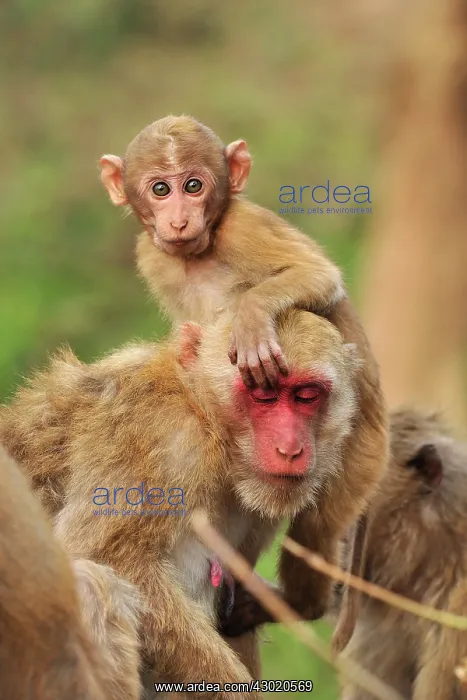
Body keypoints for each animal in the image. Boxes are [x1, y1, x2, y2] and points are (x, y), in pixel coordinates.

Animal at [100, 115, 389, 648]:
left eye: (194, 186)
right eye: (160, 188)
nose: (178, 220)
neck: (200, 252)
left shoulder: (241, 227)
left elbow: (316, 275)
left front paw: (252, 318)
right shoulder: (153, 255)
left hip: (358, 452)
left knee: (318, 523)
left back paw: (299, 603)